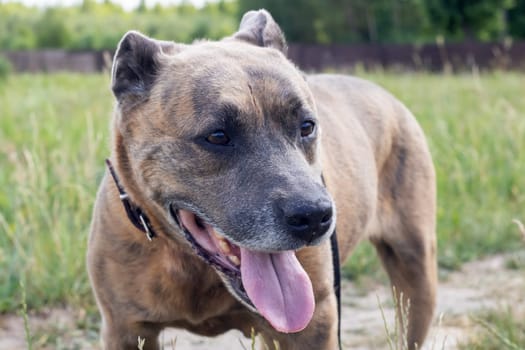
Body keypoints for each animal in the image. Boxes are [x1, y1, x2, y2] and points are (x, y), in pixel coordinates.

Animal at [86, 8, 436, 350]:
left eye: (307, 126)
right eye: (217, 136)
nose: (314, 216)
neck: (193, 264)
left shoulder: (313, 326)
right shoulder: (126, 330)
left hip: (416, 277)